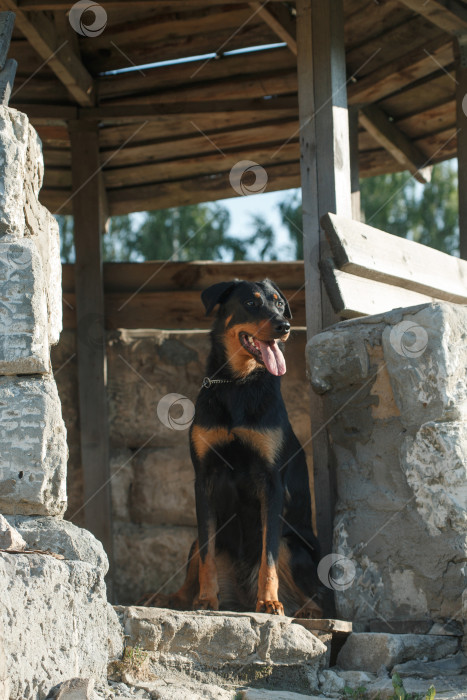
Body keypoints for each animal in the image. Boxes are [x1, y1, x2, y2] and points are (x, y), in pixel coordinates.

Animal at [145, 278, 326, 616]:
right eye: (252, 303)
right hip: (199, 541)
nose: (284, 326)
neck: (238, 383)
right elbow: (206, 554)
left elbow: (268, 555)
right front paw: (206, 599)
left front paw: (268, 601)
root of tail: (241, 597)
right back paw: (170, 598)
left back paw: (301, 609)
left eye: (279, 303)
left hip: (293, 546)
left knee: (318, 596)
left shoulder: (271, 482)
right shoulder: (204, 478)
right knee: (197, 556)